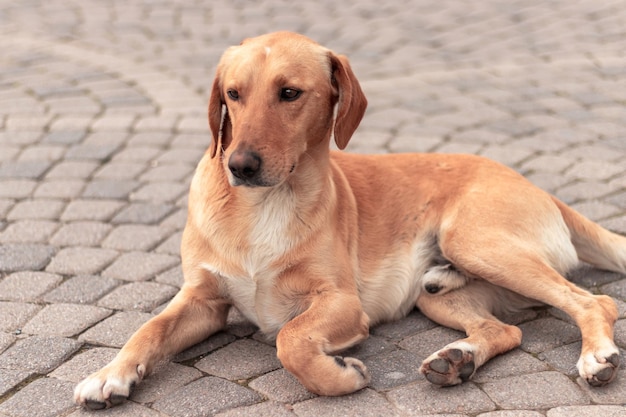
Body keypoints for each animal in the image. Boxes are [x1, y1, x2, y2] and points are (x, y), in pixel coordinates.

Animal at [74, 31, 624, 406]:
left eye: (290, 93)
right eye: (232, 94)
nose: (240, 165)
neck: (262, 207)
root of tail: (537, 186)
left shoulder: (339, 301)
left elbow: (291, 343)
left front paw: (338, 376)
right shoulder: (201, 301)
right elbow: (148, 329)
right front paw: (109, 373)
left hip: (476, 241)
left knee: (594, 300)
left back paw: (595, 356)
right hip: (439, 297)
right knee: (506, 331)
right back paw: (457, 356)